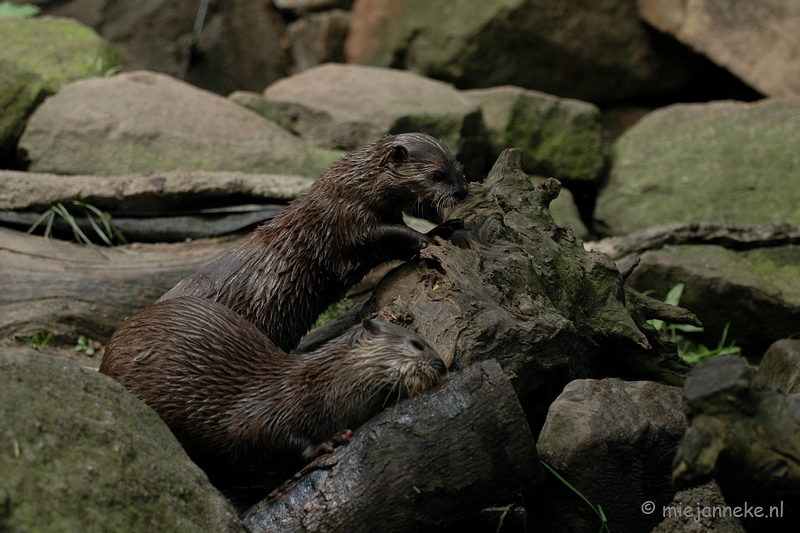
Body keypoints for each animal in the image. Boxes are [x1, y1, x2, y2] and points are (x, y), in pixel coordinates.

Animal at [98, 296, 444, 474]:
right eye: (417, 344)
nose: (441, 363)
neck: (324, 387)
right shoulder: (266, 409)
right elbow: (259, 435)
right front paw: (327, 441)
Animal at [159, 132, 466, 354]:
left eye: (460, 168)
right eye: (436, 174)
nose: (462, 192)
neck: (349, 190)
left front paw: (447, 226)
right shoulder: (349, 220)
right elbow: (385, 237)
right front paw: (427, 238)